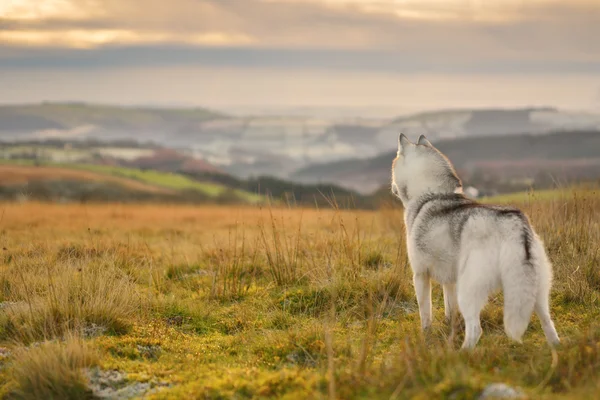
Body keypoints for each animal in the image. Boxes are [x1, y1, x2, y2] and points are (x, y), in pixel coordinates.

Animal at [392, 133, 560, 348]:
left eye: (394, 162)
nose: (392, 188)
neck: (431, 193)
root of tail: (515, 223)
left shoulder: (420, 275)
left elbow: (425, 313)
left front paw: (425, 335)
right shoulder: (449, 280)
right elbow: (449, 307)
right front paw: (449, 325)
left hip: (469, 289)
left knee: (475, 329)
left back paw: (461, 352)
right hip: (535, 290)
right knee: (548, 322)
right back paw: (556, 347)